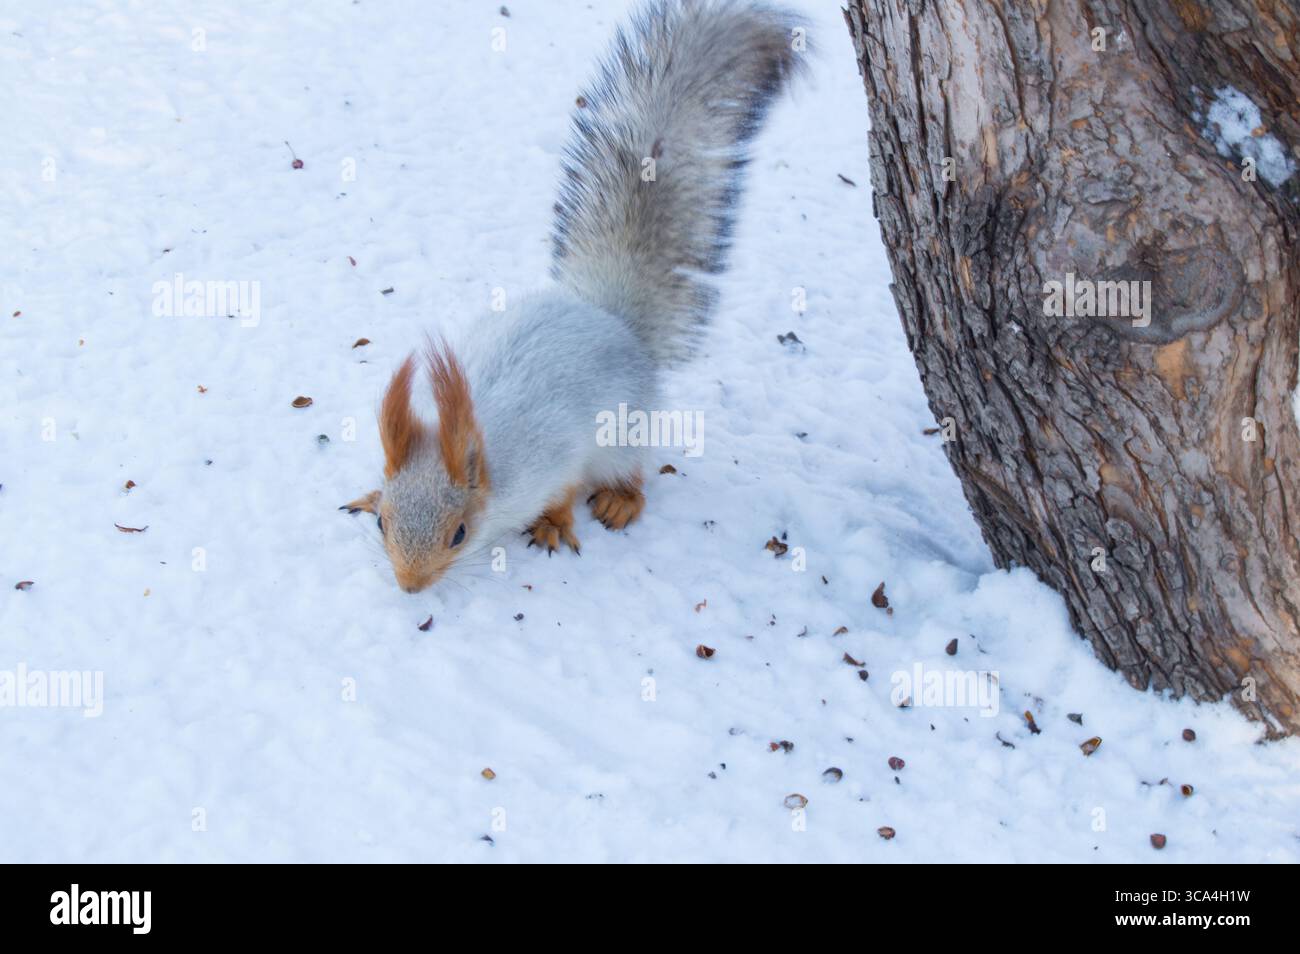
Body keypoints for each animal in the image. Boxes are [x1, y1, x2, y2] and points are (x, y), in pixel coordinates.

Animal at [345, 0, 804, 592]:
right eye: (383, 522)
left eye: (459, 534)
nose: (410, 586)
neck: (483, 453)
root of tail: (610, 319)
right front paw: (367, 492)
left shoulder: (555, 458)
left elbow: (562, 491)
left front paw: (553, 524)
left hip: (624, 431)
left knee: (632, 472)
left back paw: (620, 501)